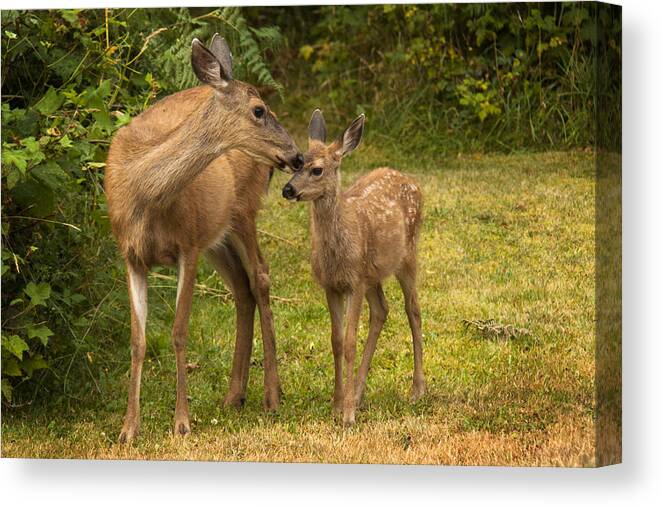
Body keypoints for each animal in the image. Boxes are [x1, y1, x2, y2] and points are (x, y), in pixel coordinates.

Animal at [105, 33, 302, 442]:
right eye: (259, 110)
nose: (297, 156)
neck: (143, 193)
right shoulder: (131, 255)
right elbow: (137, 340)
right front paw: (129, 428)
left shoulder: (188, 245)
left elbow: (180, 331)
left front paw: (181, 421)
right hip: (218, 235)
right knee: (241, 287)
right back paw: (234, 394)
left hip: (242, 212)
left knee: (260, 276)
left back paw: (271, 395)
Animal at [282, 110, 426, 424]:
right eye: (296, 164)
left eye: (317, 170)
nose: (287, 189)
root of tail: (411, 181)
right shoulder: (332, 285)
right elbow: (336, 341)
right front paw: (338, 404)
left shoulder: (355, 282)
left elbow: (349, 343)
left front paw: (347, 415)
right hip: (374, 273)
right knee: (382, 309)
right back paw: (358, 394)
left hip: (408, 255)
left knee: (413, 310)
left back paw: (417, 390)